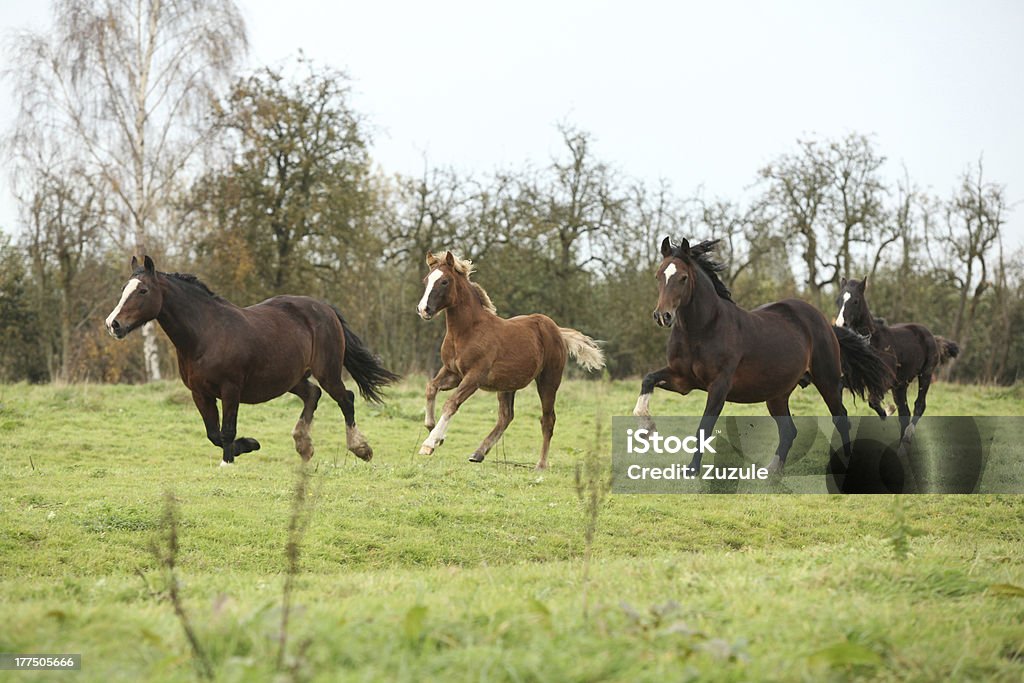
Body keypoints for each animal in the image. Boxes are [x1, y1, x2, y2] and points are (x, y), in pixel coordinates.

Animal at [100, 254, 395, 464]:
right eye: (124, 288)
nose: (113, 324)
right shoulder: (200, 393)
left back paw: (360, 448)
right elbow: (213, 433)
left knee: (346, 399)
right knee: (313, 394)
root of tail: (325, 308)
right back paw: (304, 446)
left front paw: (229, 460)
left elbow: (227, 431)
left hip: (328, 371)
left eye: (143, 291)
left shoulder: (231, 389)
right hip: (291, 378)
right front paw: (249, 445)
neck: (206, 335)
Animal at [417, 250, 606, 471]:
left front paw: (430, 443)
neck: (467, 331)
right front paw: (433, 430)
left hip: (548, 381)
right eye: (426, 280)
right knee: (506, 416)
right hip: (507, 385)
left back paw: (541, 464)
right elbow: (431, 388)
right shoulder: (452, 372)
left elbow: (451, 403)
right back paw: (478, 454)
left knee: (547, 419)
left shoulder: (474, 376)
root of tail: (557, 330)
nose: (423, 309)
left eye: (445, 281)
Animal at [634, 239, 892, 475]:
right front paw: (645, 426)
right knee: (789, 430)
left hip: (826, 380)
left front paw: (692, 469)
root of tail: (827, 324)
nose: (663, 316)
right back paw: (771, 471)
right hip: (777, 394)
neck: (702, 329)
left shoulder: (718, 386)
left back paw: (845, 465)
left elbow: (704, 426)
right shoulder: (682, 380)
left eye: (683, 278)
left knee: (841, 418)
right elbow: (648, 379)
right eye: (658, 276)